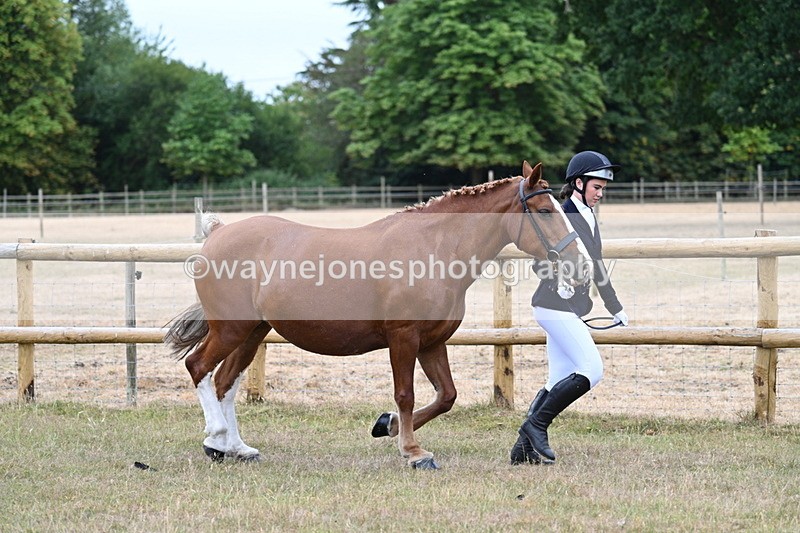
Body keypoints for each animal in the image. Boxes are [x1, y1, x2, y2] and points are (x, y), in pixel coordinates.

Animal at [164, 161, 592, 469]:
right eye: (544, 210)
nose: (581, 267)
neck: (434, 249)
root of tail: (217, 233)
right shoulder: (403, 338)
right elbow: (406, 394)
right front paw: (413, 451)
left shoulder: (432, 342)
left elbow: (446, 396)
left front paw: (387, 426)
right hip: (231, 329)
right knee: (199, 368)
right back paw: (216, 434)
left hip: (252, 331)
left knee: (225, 382)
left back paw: (231, 448)